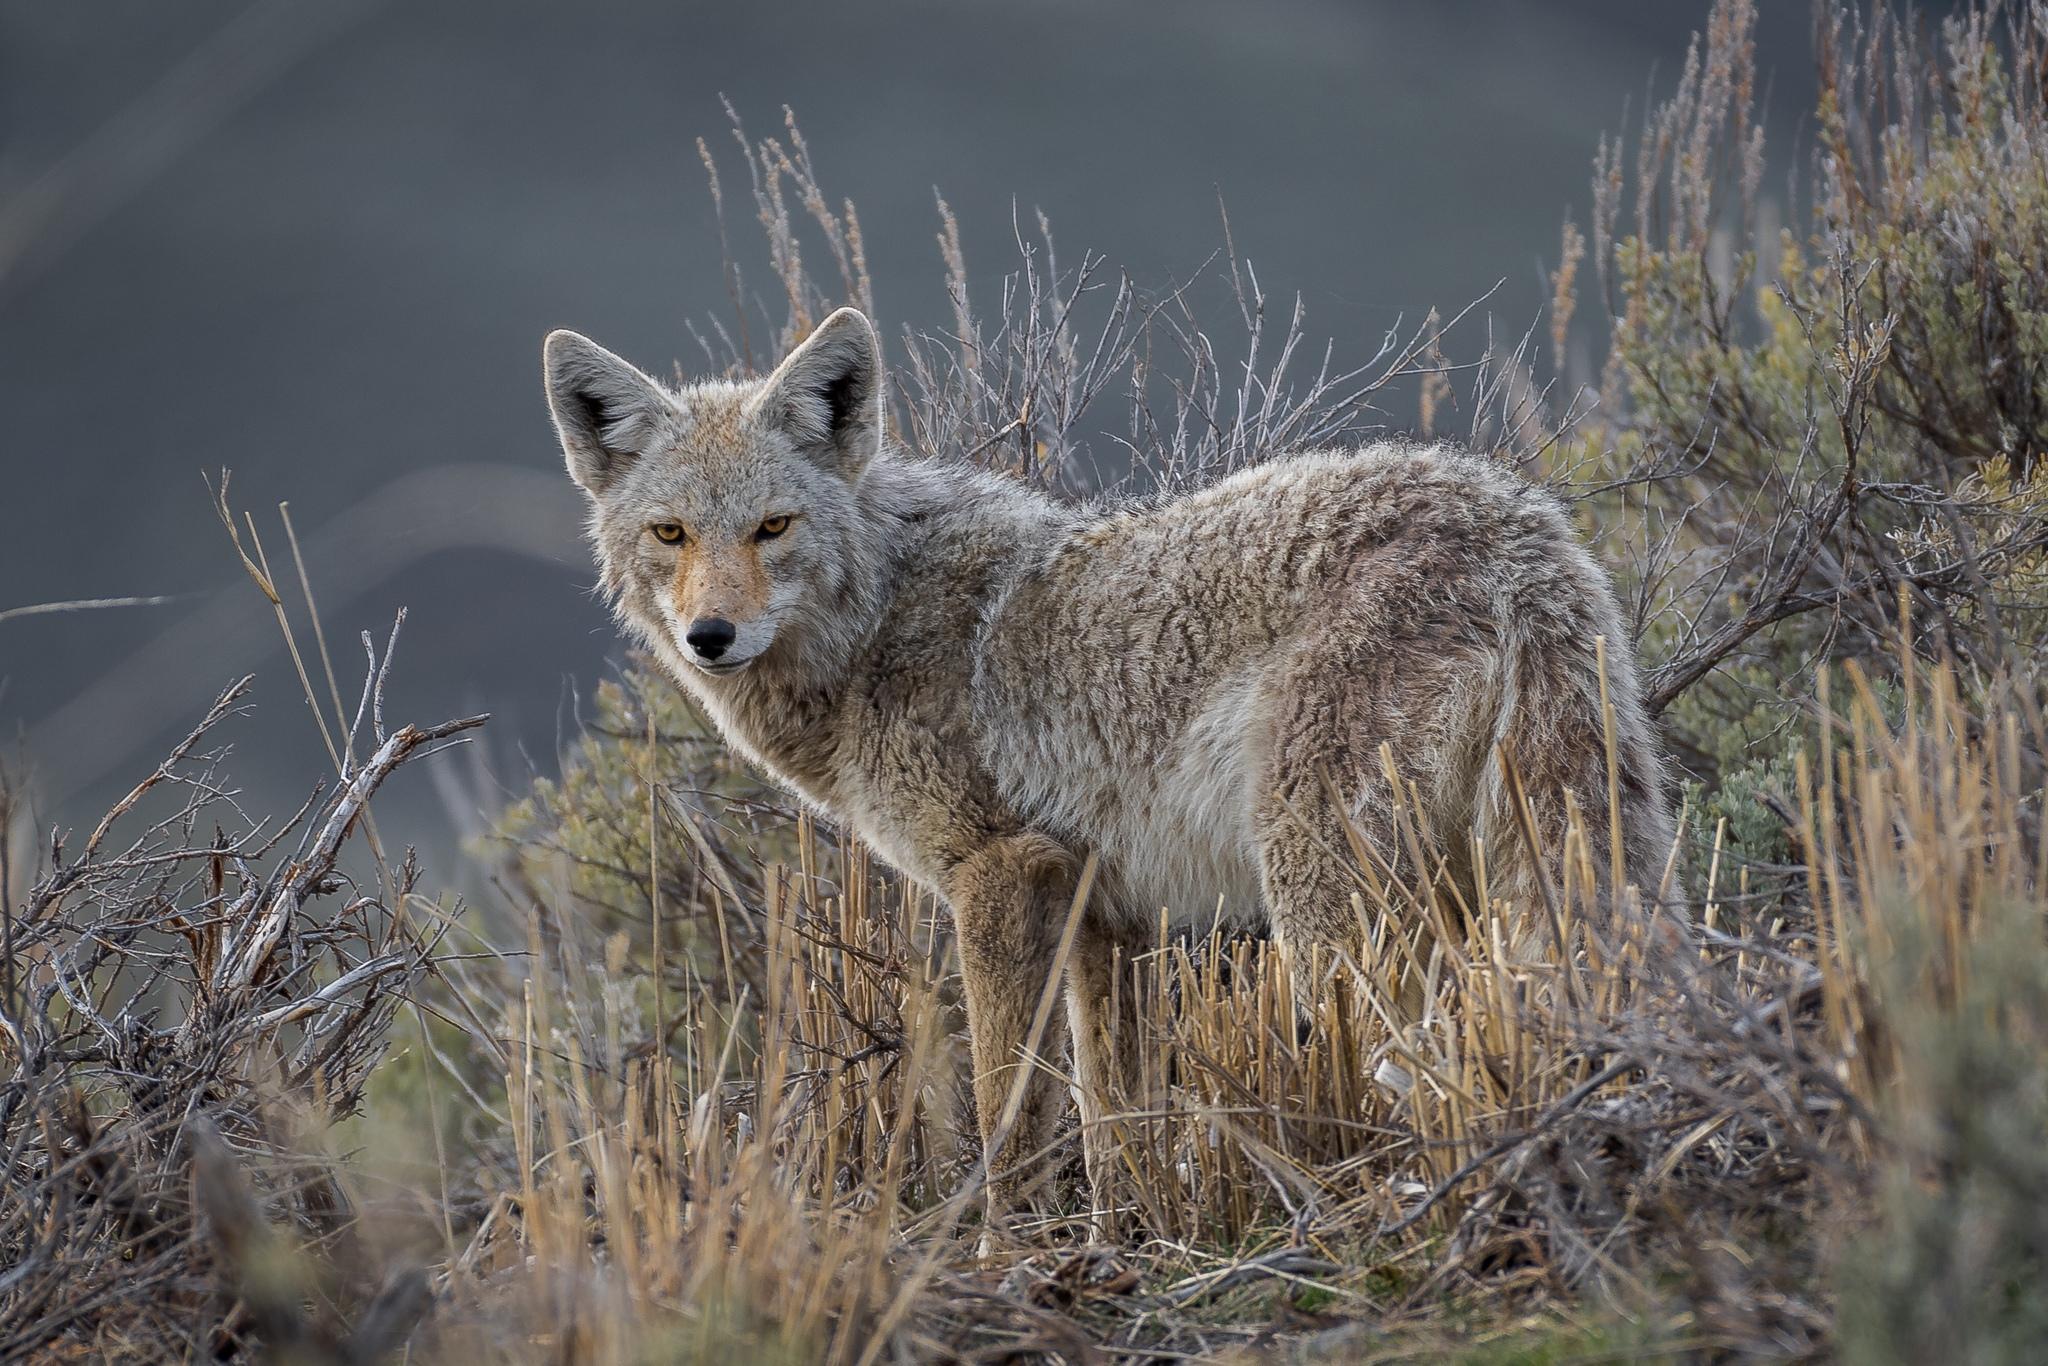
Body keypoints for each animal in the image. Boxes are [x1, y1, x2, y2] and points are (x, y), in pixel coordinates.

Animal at [542, 307, 1677, 1225]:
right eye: (670, 534)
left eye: (772, 528)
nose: (710, 636)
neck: (876, 625)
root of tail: (1515, 528)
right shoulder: (1108, 921)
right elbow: (1115, 1120)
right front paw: (1118, 1239)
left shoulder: (1002, 877)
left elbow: (1007, 1111)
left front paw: (1002, 1249)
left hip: (1330, 903)